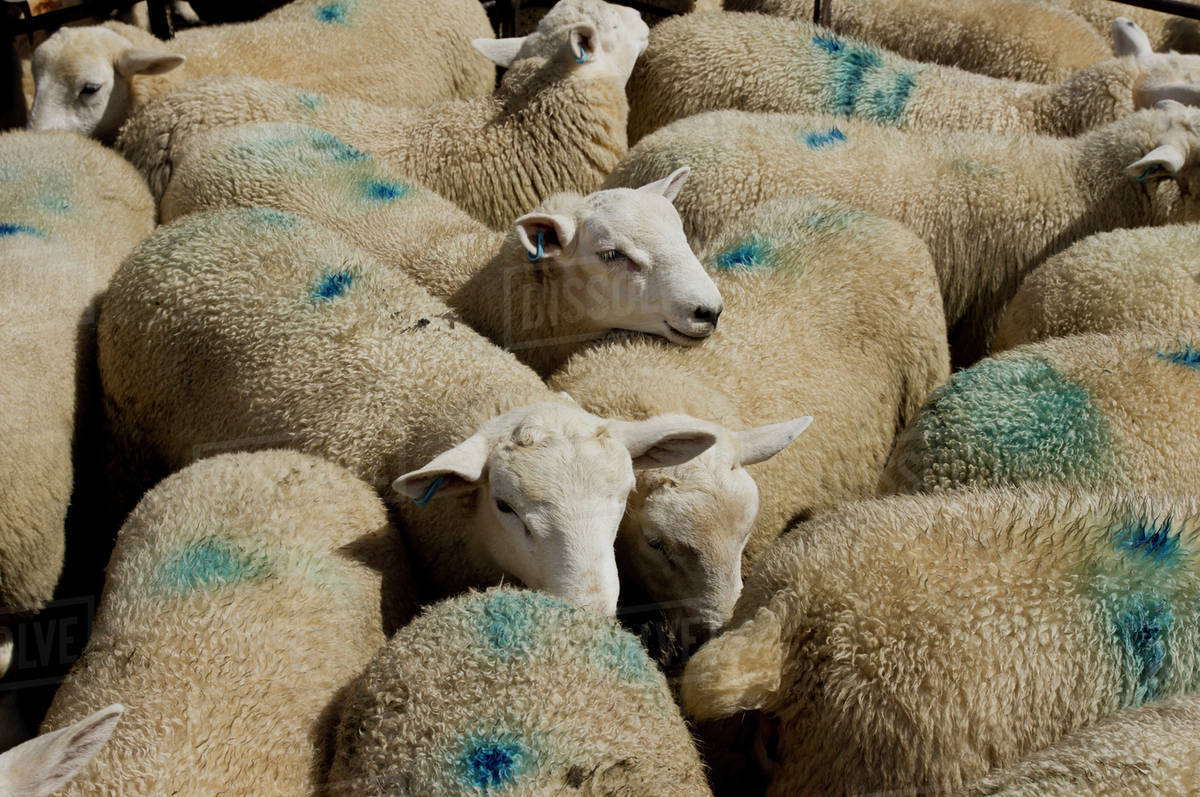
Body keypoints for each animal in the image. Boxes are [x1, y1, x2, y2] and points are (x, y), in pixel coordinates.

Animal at [97, 207, 721, 615]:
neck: (469, 393)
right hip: (131, 435)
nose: (590, 613)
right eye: (505, 506)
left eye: (624, 496)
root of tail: (180, 230)